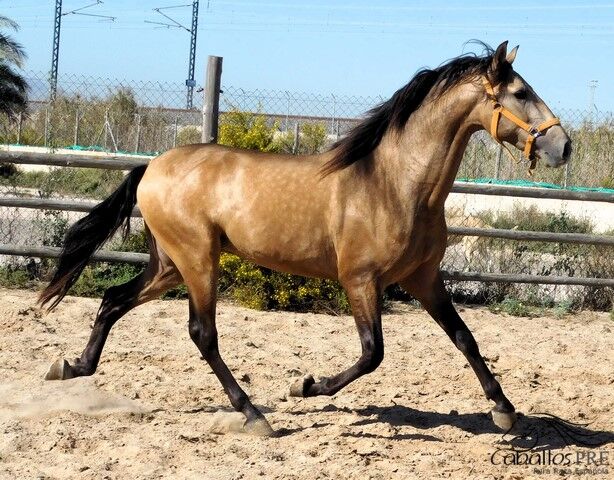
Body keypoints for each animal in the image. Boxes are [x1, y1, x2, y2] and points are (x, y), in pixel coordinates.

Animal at [41, 43, 576, 436]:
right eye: (521, 92)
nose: (564, 146)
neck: (395, 185)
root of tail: (151, 165)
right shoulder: (360, 279)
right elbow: (372, 353)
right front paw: (305, 386)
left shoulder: (424, 279)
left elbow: (465, 337)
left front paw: (504, 409)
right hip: (197, 260)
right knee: (202, 333)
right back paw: (255, 415)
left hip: (170, 263)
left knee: (113, 299)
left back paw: (71, 367)